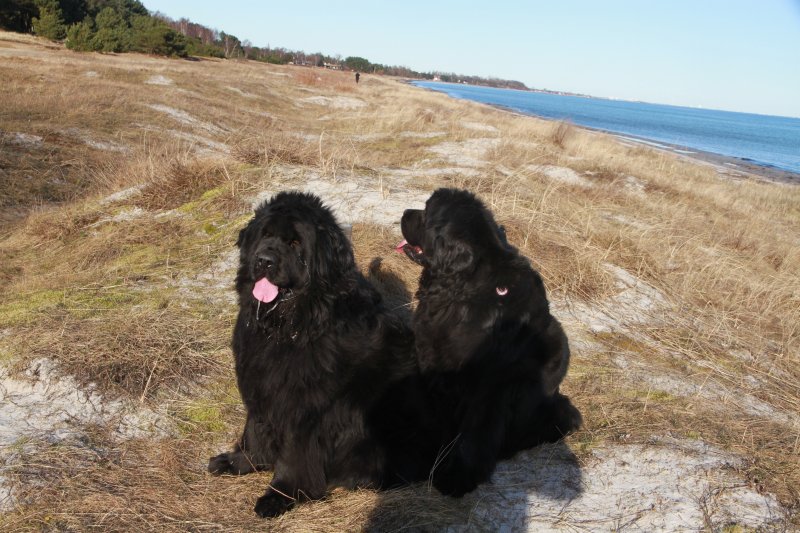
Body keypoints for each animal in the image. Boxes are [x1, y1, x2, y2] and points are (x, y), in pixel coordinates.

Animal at [208, 191, 414, 517]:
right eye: (264, 235)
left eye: (294, 243)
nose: (263, 260)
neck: (289, 326)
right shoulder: (260, 383)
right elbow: (252, 430)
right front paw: (238, 462)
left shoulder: (305, 403)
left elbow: (294, 452)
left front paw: (281, 494)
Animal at [397, 187, 582, 497]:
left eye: (427, 212)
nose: (404, 212)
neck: (463, 287)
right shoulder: (431, 355)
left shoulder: (487, 386)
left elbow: (475, 433)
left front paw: (457, 478)